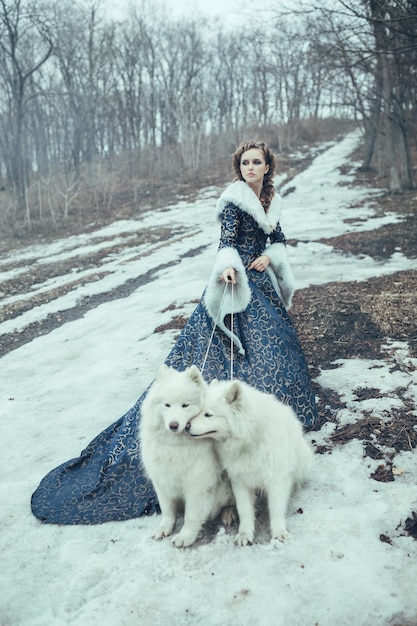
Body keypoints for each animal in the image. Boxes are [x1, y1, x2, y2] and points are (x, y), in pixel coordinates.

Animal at [140, 364, 231, 544]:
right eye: (167, 405)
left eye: (185, 405)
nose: (173, 425)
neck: (176, 445)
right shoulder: (162, 480)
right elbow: (167, 510)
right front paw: (164, 528)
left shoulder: (198, 485)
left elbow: (191, 515)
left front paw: (185, 536)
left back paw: (229, 513)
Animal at [186, 378, 312, 544]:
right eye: (198, 411)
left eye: (208, 414)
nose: (186, 426)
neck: (248, 440)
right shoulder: (239, 481)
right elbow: (244, 510)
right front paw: (245, 534)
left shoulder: (276, 480)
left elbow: (276, 510)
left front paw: (279, 532)